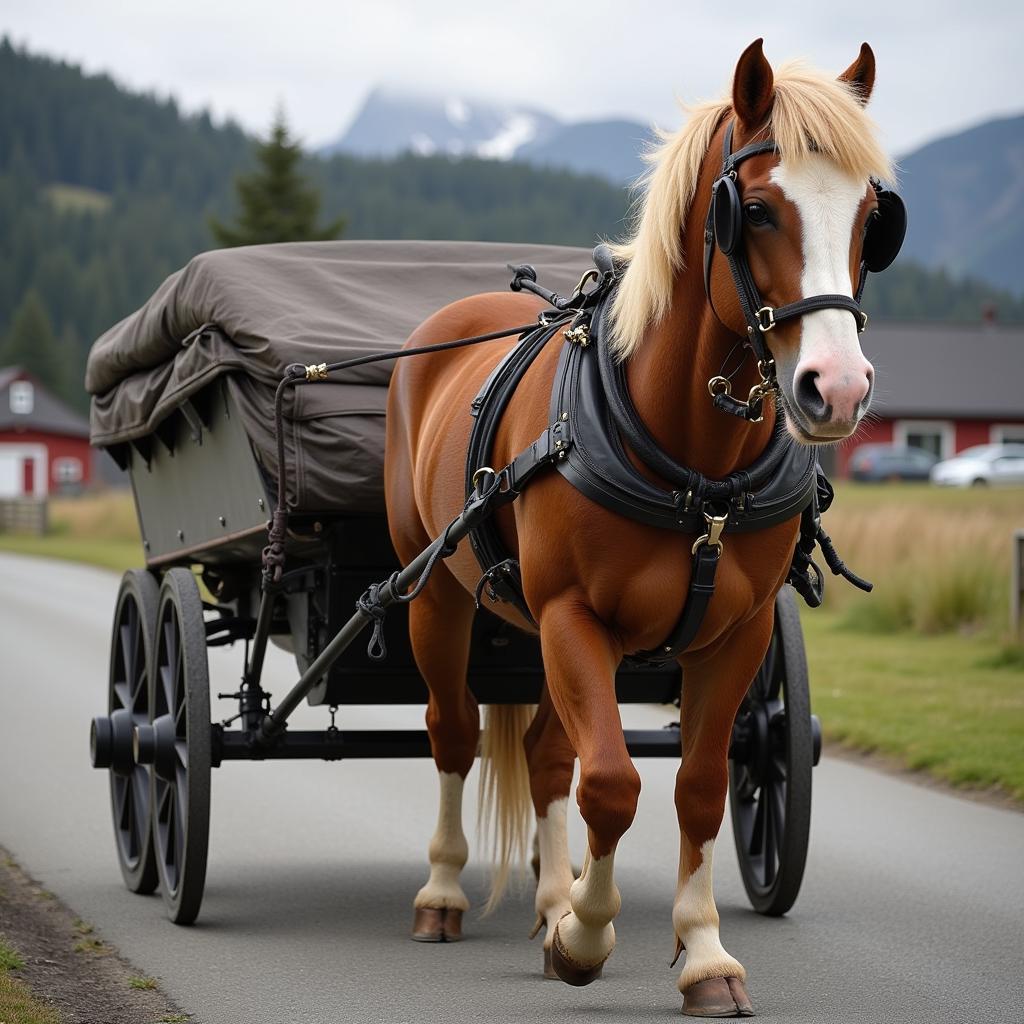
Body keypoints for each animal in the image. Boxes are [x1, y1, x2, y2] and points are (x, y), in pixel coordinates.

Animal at [385, 39, 897, 1015]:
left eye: (871, 218)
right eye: (756, 209)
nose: (839, 389)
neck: (697, 469)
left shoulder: (734, 636)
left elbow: (696, 786)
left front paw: (701, 953)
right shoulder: (573, 618)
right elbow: (614, 783)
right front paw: (588, 936)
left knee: (547, 756)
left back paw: (550, 898)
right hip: (439, 595)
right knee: (454, 732)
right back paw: (441, 893)